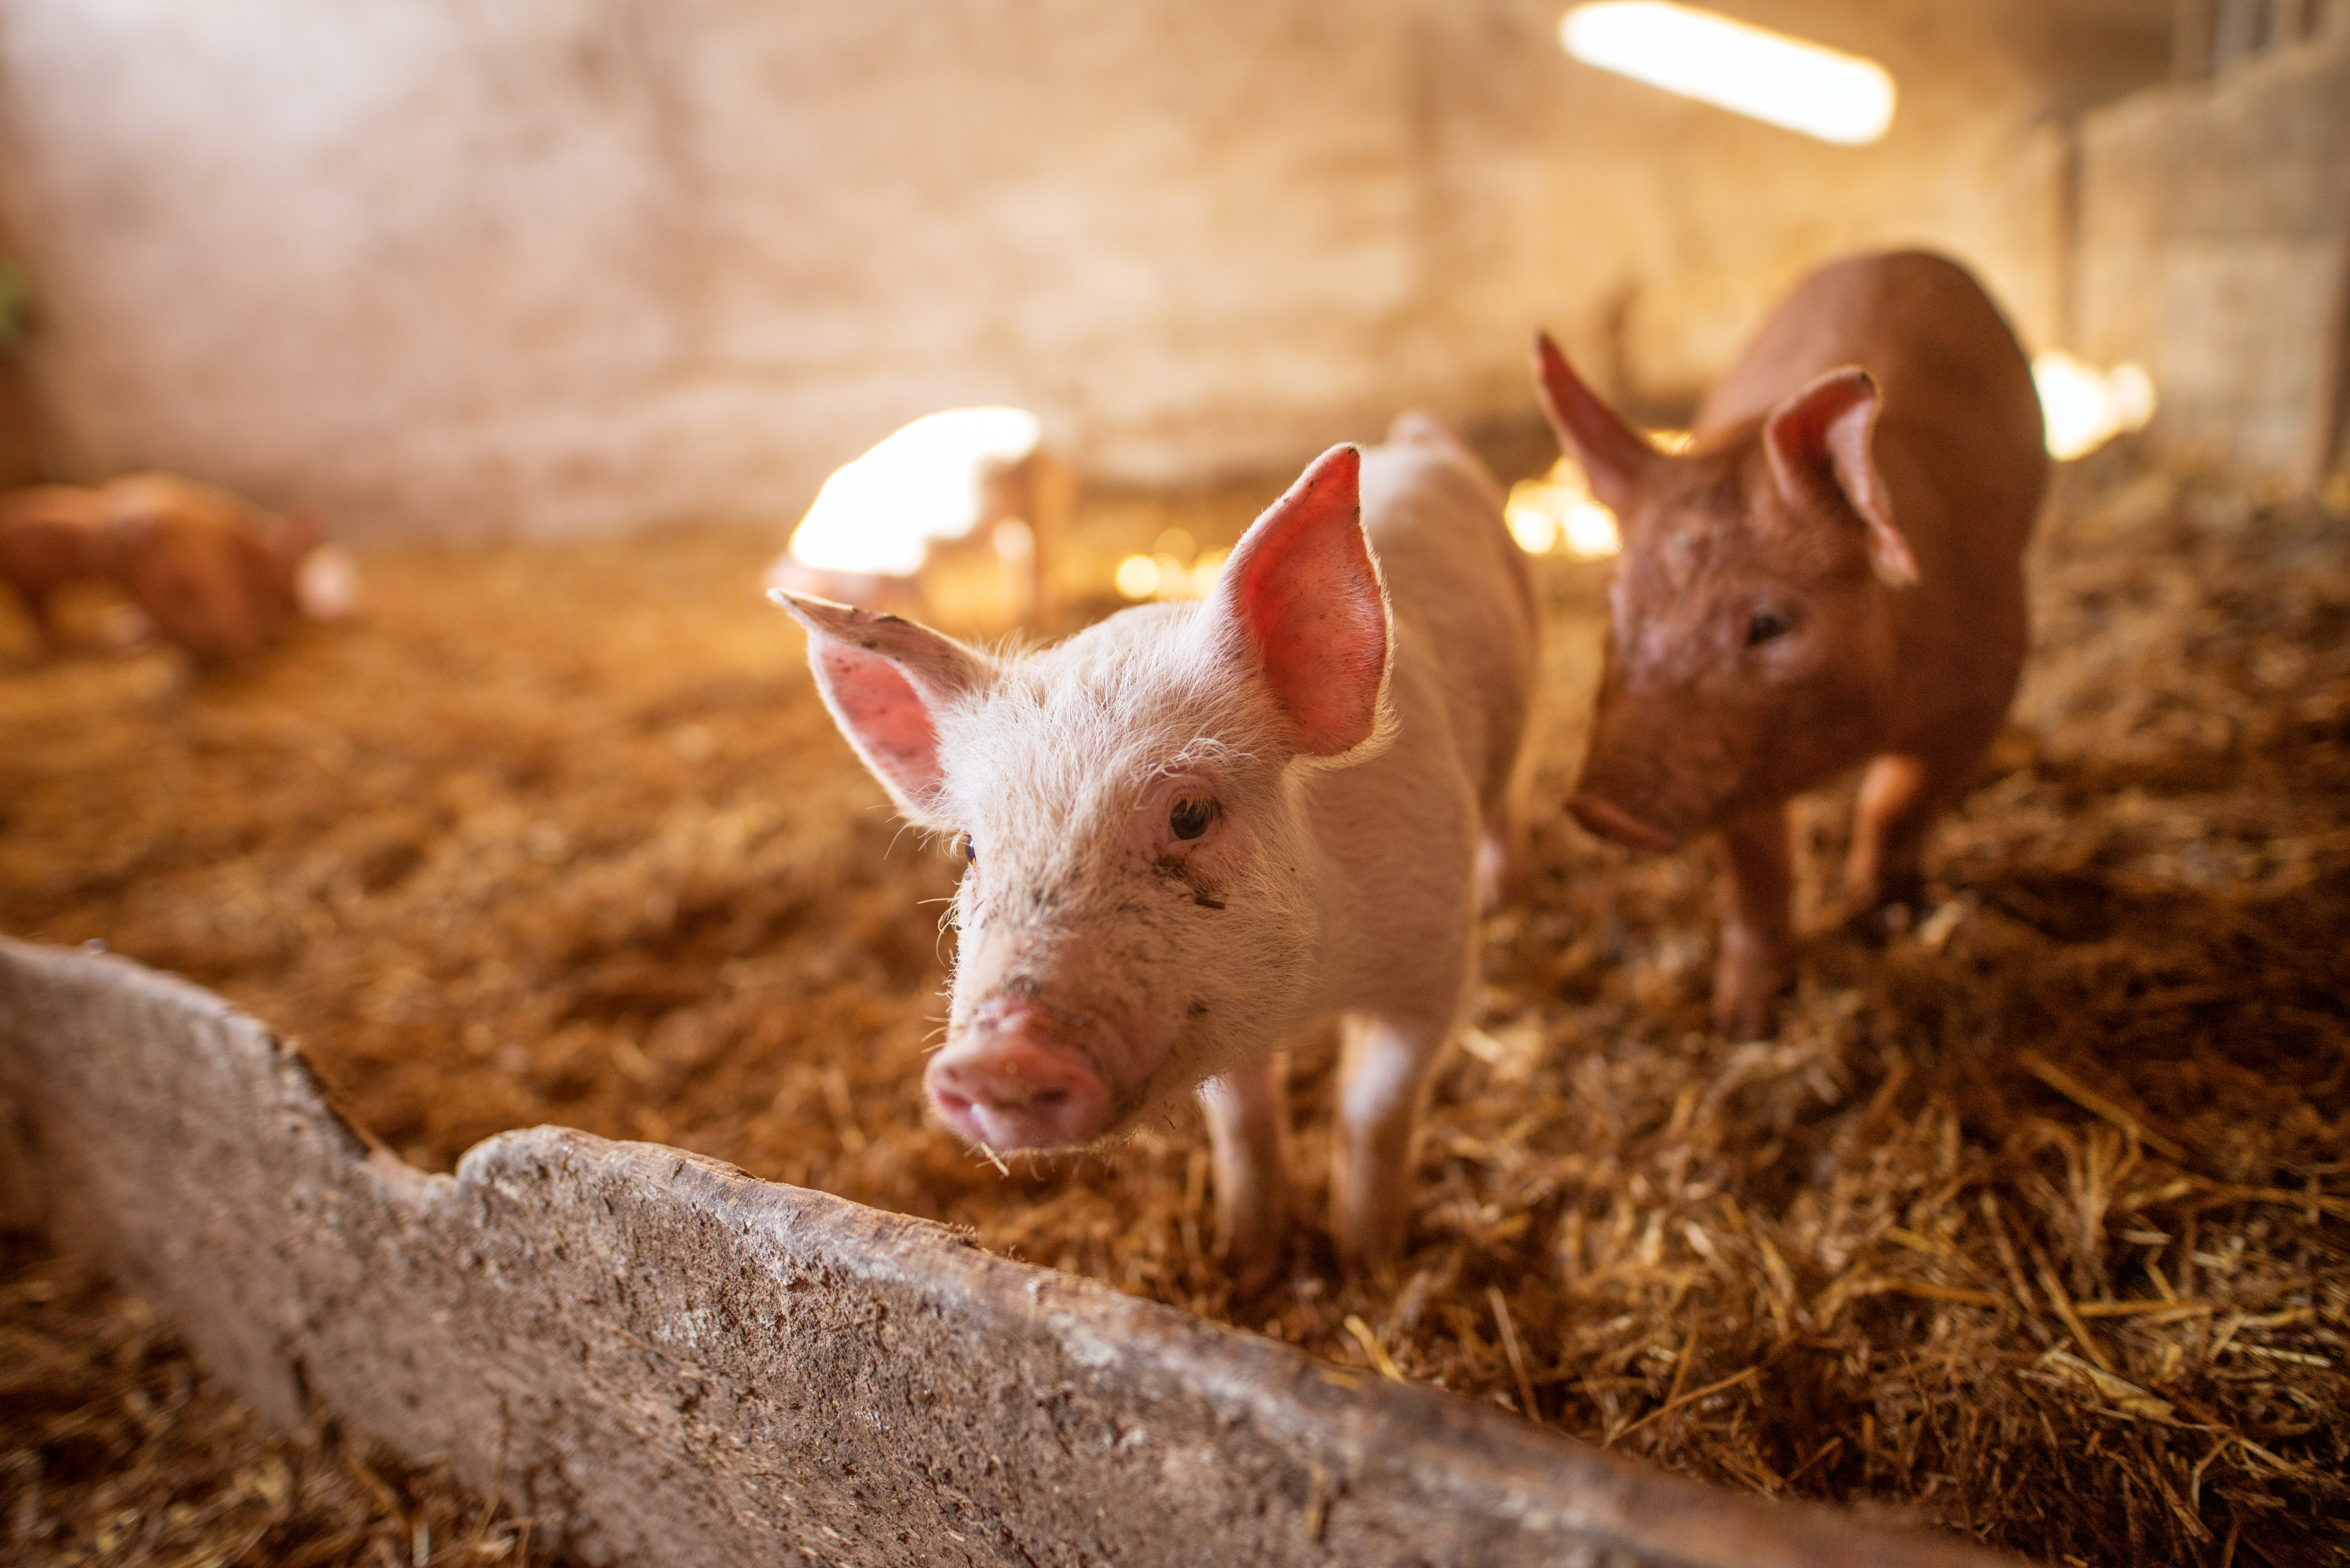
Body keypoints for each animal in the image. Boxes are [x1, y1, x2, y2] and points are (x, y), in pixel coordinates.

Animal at [775, 416, 1537, 1284]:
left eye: (1190, 814)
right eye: (971, 847)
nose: (998, 1055)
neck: (1314, 991)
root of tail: (1416, 438)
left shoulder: (1432, 963)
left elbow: (1373, 1112)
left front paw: (1369, 1262)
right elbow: (1244, 1124)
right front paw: (1249, 1257)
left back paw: (1508, 892)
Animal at [1533, 250, 2047, 1040]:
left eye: (1769, 623)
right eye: (1616, 607)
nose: (1599, 808)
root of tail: (1894, 250)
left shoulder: (1986, 685)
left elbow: (1898, 802)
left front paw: (1883, 913)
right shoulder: (1739, 763)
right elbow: (1758, 869)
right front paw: (1742, 1022)